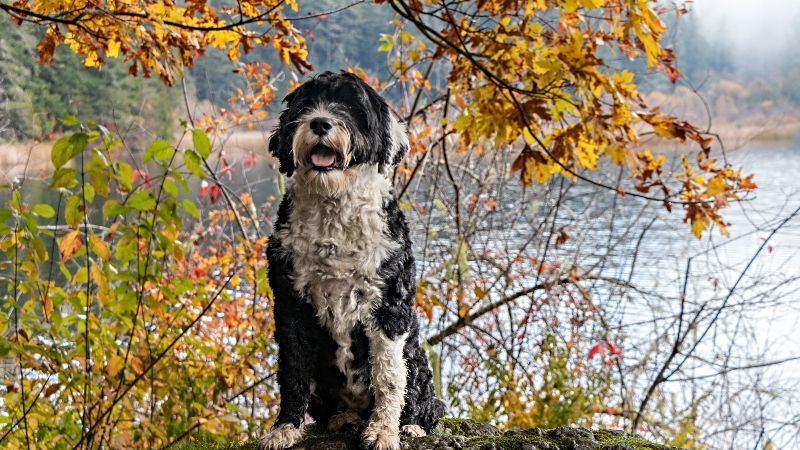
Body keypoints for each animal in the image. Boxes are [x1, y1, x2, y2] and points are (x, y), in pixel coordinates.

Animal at [262, 71, 450, 450]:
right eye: (306, 105)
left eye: (351, 107)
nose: (320, 122)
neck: (334, 210)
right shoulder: (290, 303)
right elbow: (293, 369)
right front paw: (285, 427)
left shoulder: (389, 307)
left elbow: (388, 377)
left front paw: (383, 431)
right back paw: (343, 419)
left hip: (416, 357)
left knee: (425, 402)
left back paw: (411, 426)